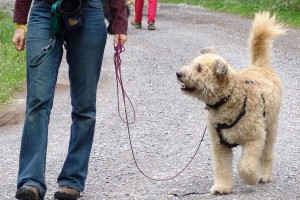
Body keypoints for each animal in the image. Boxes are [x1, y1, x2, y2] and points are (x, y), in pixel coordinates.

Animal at [176, 11, 286, 195]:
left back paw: (264, 175)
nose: (178, 73)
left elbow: (246, 165)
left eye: (199, 69)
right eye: (193, 64)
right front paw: (222, 187)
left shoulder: (255, 138)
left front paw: (252, 177)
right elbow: (222, 168)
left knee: (267, 154)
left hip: (270, 128)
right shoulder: (220, 145)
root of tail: (259, 66)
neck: (229, 98)